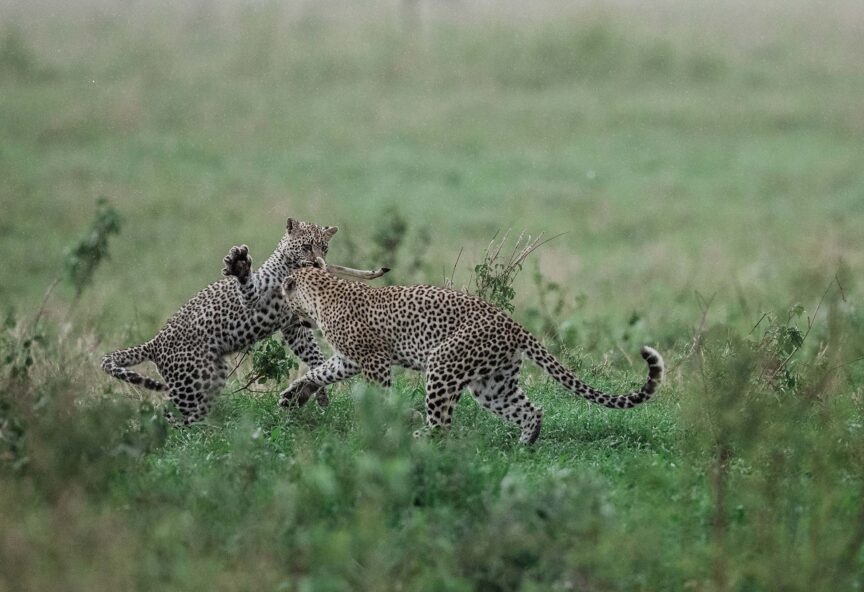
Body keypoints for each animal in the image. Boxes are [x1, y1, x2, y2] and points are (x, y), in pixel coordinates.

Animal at [97, 220, 388, 424]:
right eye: (306, 246)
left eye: (324, 247)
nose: (318, 262)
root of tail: (155, 342)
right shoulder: (257, 298)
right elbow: (248, 287)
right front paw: (238, 264)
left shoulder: (294, 327)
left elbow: (313, 355)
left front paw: (317, 390)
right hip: (190, 383)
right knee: (170, 415)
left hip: (208, 377)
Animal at [278, 268, 668, 444]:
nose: (287, 315)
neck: (321, 293)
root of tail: (513, 323)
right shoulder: (348, 358)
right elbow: (320, 371)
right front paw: (294, 395)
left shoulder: (373, 360)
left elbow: (381, 395)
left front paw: (388, 419)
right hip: (492, 384)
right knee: (530, 410)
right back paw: (525, 445)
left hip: (443, 364)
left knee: (442, 424)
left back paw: (418, 435)